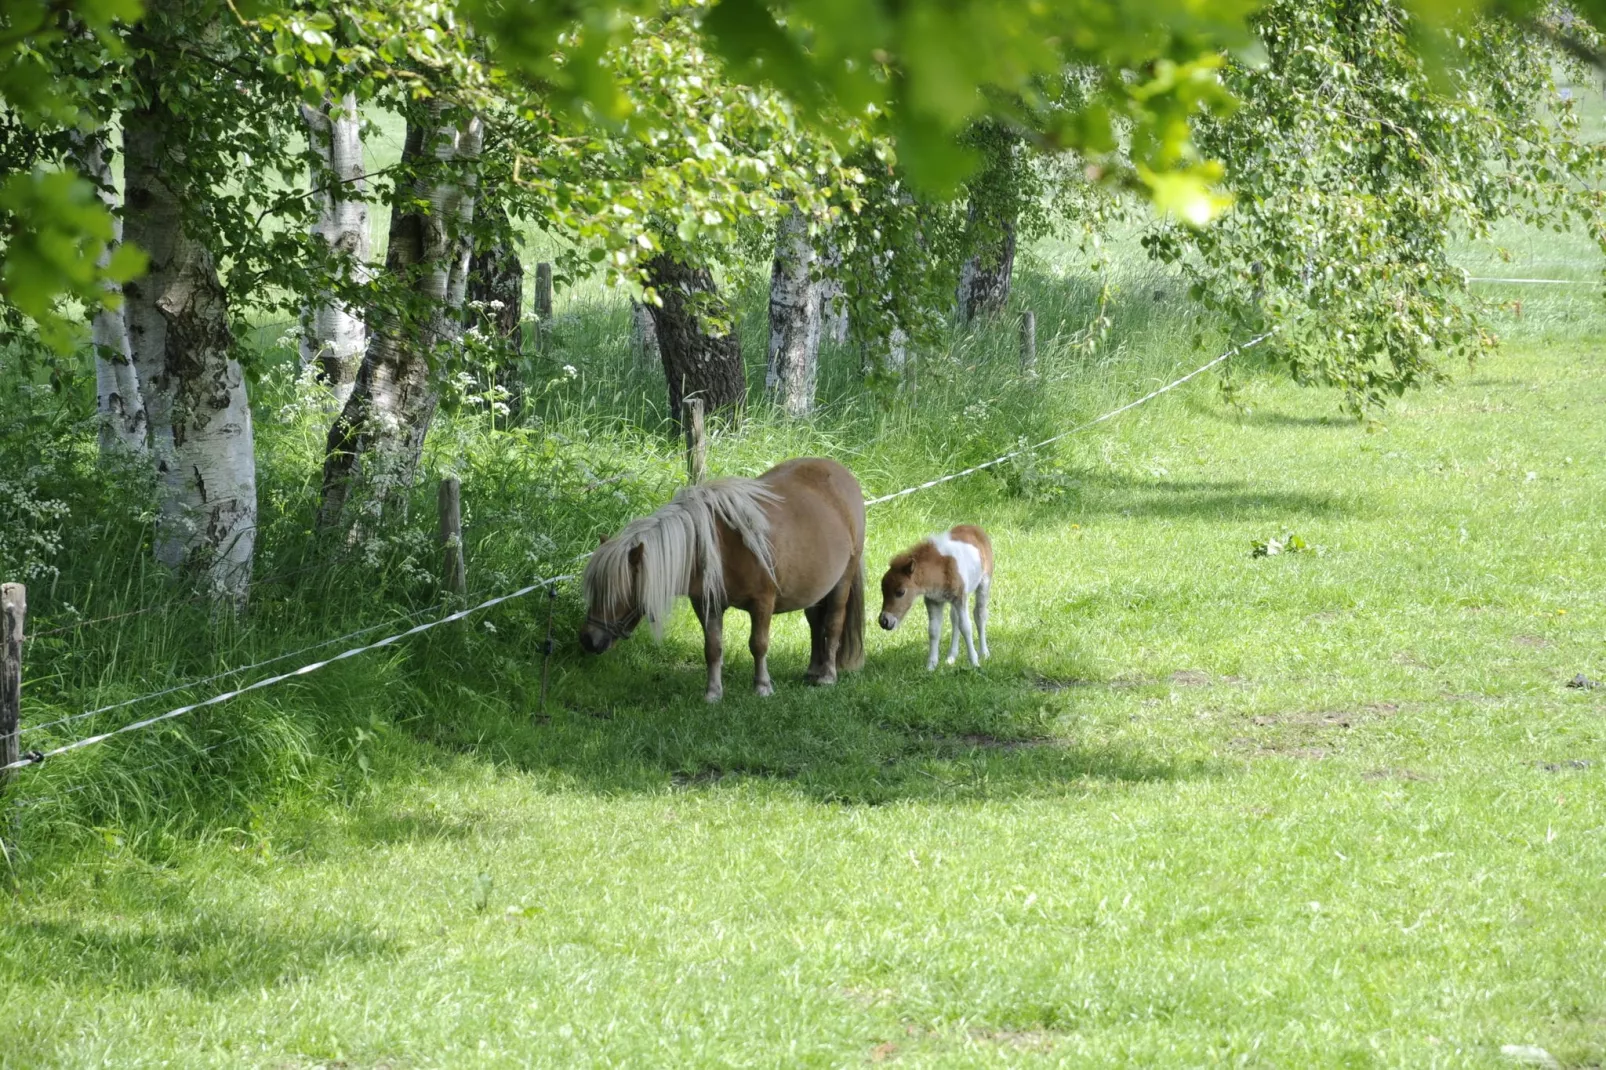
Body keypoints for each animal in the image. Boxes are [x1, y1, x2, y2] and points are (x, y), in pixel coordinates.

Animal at [581, 456, 867, 700]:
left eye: (616, 592)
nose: (588, 640)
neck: (718, 546)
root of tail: (842, 474)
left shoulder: (763, 602)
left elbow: (758, 645)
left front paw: (762, 686)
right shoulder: (707, 605)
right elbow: (713, 648)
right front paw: (713, 692)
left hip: (842, 582)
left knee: (833, 623)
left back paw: (827, 675)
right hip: (815, 591)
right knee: (815, 624)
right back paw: (812, 671)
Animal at [880, 523, 989, 668]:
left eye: (900, 592)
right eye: (882, 591)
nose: (884, 621)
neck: (941, 570)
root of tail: (974, 527)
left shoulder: (960, 599)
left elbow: (966, 627)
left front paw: (974, 662)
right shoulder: (933, 601)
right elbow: (933, 630)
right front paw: (931, 665)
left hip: (984, 583)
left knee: (979, 615)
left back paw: (984, 652)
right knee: (954, 619)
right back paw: (951, 657)